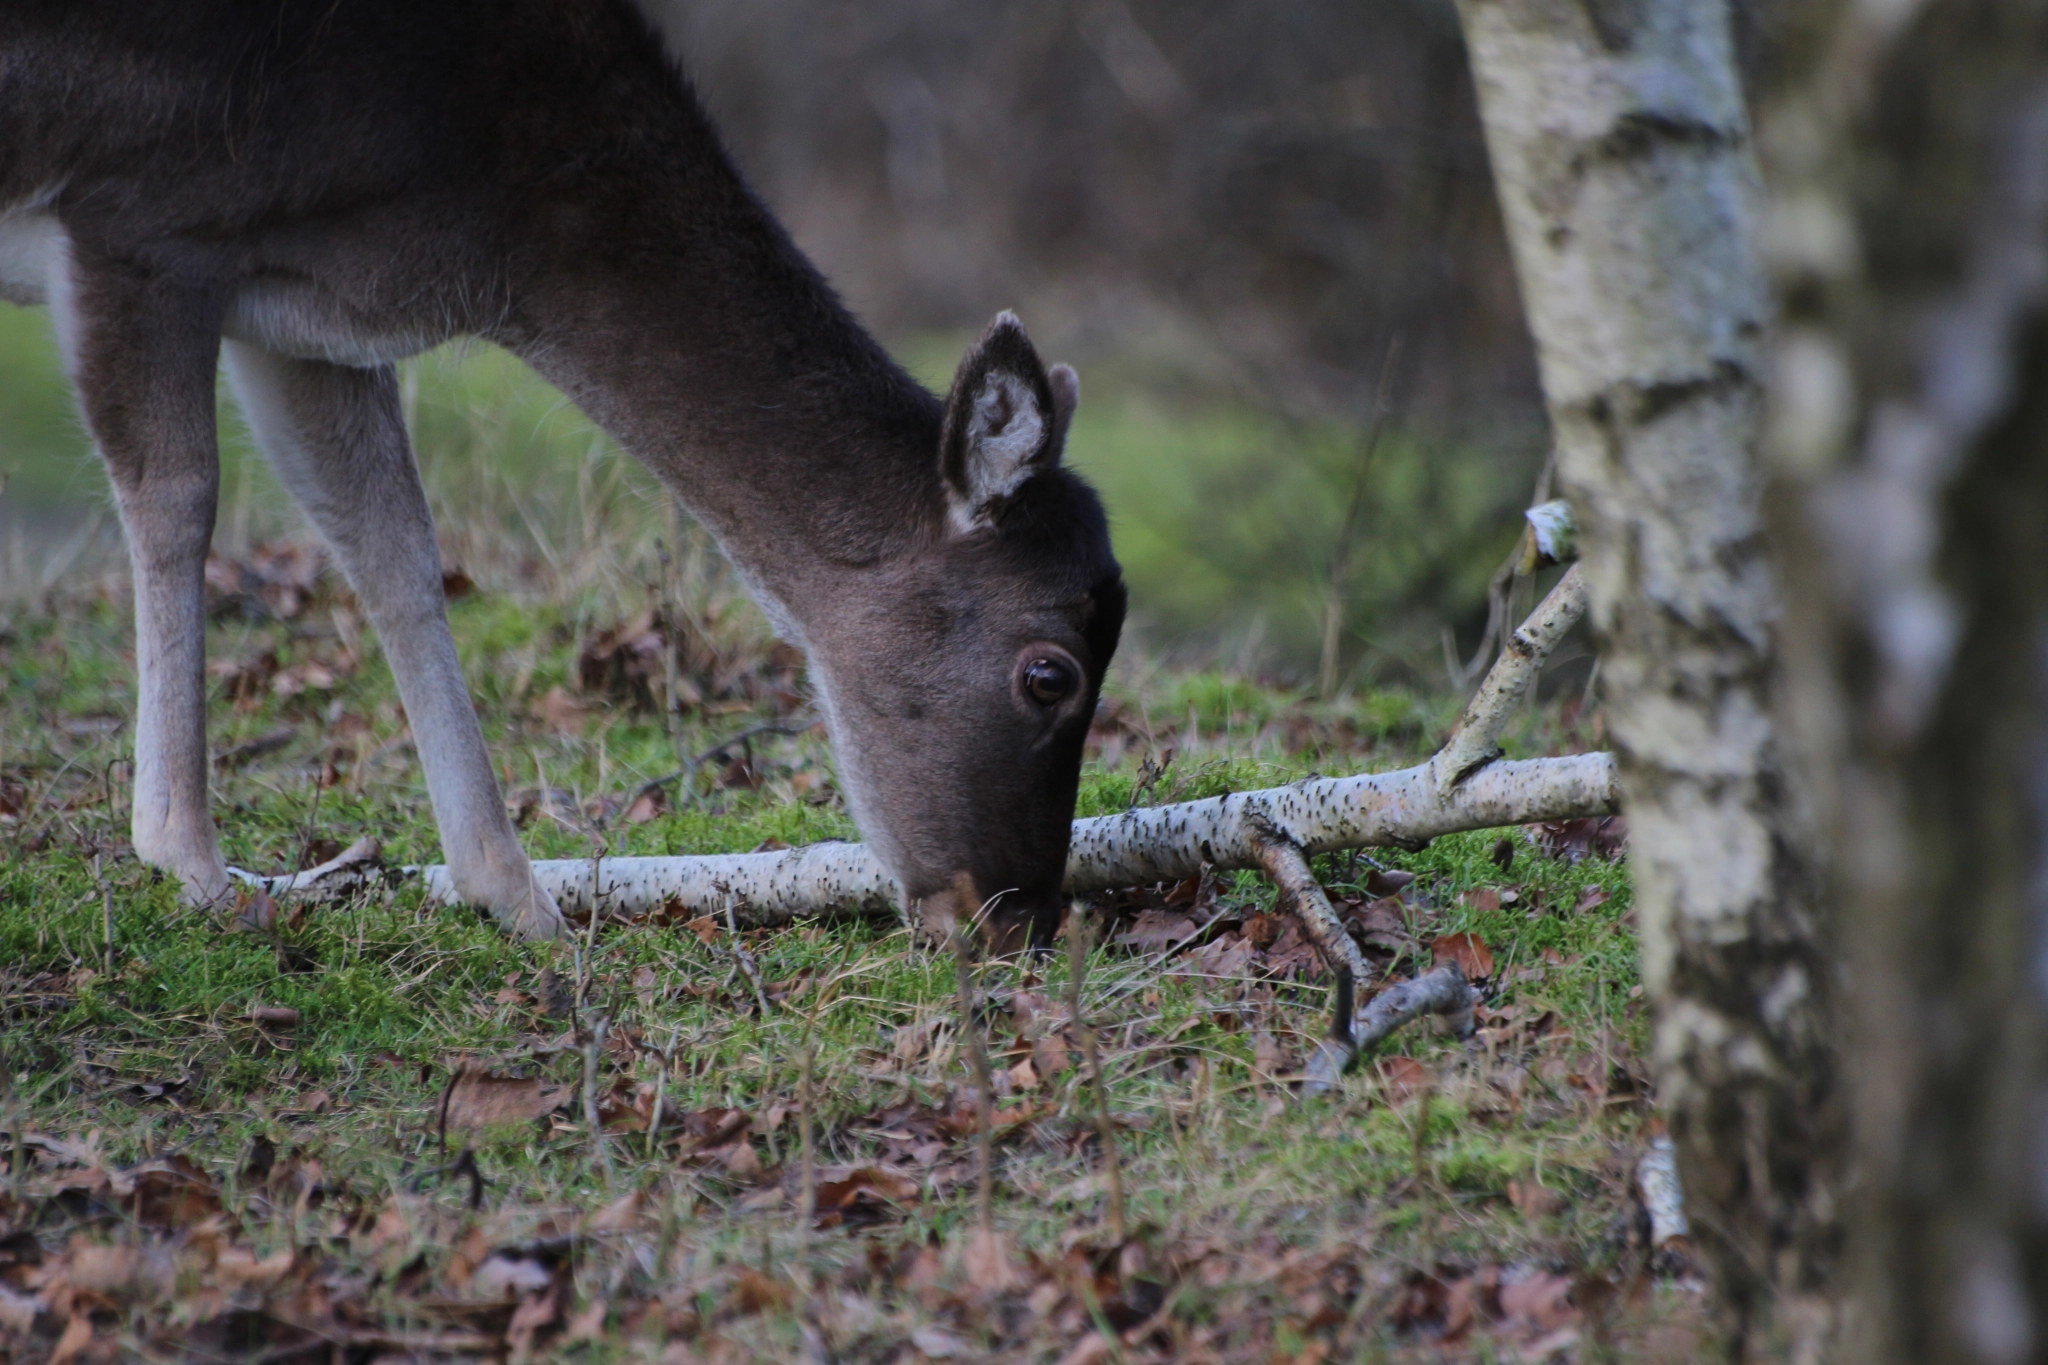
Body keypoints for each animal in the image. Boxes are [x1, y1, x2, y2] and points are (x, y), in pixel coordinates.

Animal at [0, 0, 1125, 952]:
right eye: (1049, 675)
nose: (1014, 916)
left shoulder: (307, 312)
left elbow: (392, 548)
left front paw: (518, 899)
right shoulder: (138, 214)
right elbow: (178, 500)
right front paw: (189, 863)